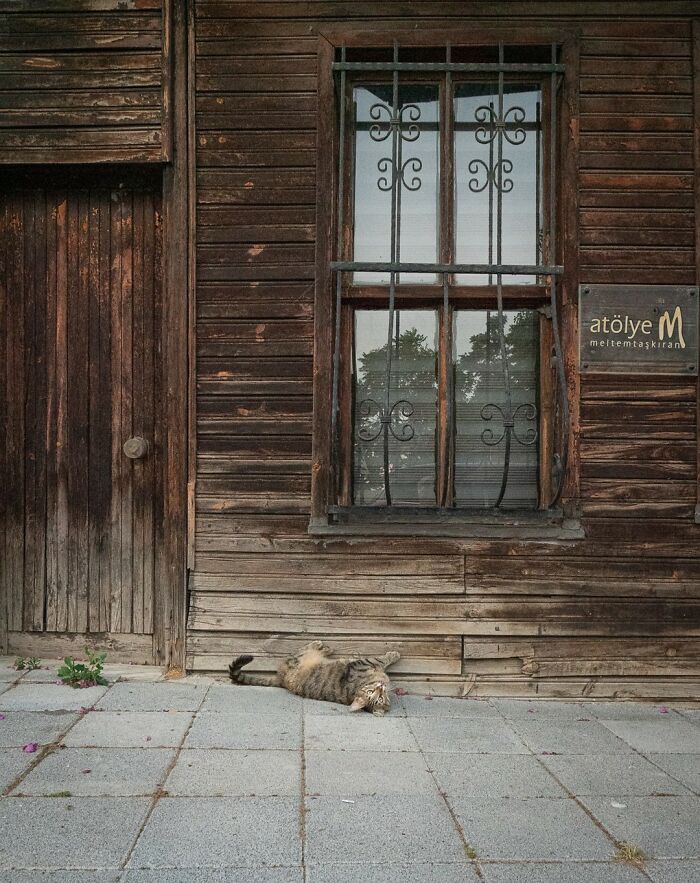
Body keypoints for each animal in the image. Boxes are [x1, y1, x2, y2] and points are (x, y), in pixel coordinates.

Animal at [230, 644, 400, 720]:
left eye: (379, 699)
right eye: (371, 693)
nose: (381, 687)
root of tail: (281, 679)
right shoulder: (363, 664)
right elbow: (382, 659)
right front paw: (394, 654)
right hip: (298, 658)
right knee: (302, 650)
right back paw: (321, 646)